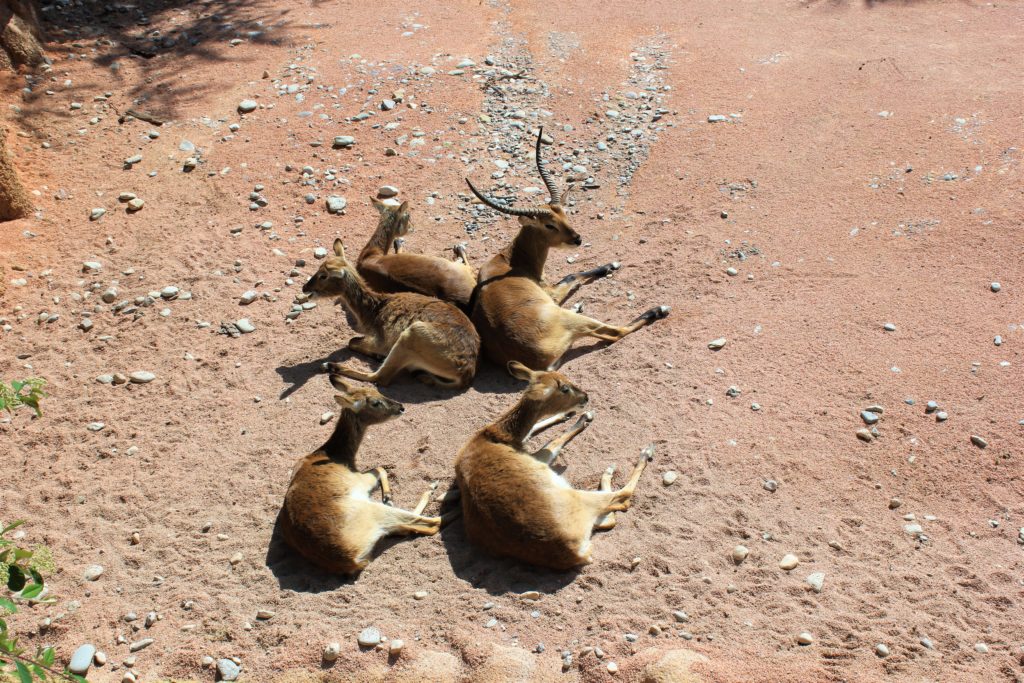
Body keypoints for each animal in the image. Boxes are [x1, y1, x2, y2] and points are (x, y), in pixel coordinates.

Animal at [280, 374, 456, 577]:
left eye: (376, 390)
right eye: (375, 403)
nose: (401, 407)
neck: (335, 454)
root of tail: (352, 558)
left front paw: (389, 496)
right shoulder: (361, 480)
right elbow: (380, 468)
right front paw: (388, 495)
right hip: (374, 511)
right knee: (429, 524)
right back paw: (437, 495)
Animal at [303, 239, 479, 389]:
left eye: (324, 275)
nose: (305, 288)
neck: (375, 309)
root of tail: (466, 372)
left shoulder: (382, 340)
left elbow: (352, 341)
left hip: (411, 334)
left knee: (380, 378)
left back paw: (329, 365)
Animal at [456, 362, 655, 573]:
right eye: (564, 388)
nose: (586, 397)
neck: (497, 436)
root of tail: (578, 553)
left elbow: (537, 429)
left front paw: (573, 415)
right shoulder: (540, 457)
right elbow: (553, 442)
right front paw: (584, 416)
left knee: (609, 517)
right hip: (581, 497)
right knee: (623, 497)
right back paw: (641, 454)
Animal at [464, 127, 671, 374]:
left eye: (564, 212)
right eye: (548, 225)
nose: (577, 239)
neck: (510, 262)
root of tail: (536, 362)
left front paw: (609, 266)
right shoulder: (552, 294)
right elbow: (571, 275)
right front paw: (611, 266)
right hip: (572, 319)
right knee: (614, 333)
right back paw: (659, 309)